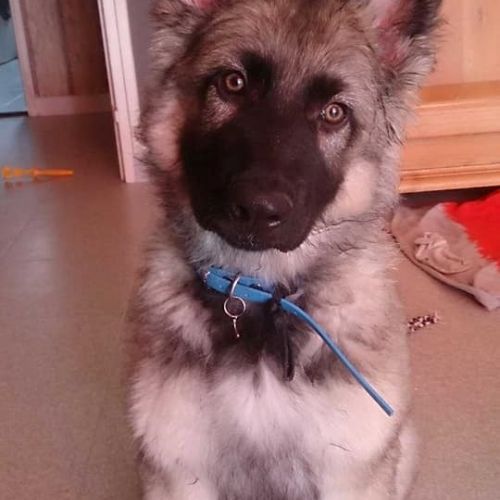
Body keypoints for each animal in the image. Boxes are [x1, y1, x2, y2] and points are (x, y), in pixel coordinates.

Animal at [129, 1, 441, 498]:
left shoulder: (352, 473)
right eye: (233, 83)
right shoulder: (178, 473)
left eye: (333, 113)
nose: (258, 210)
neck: (256, 291)